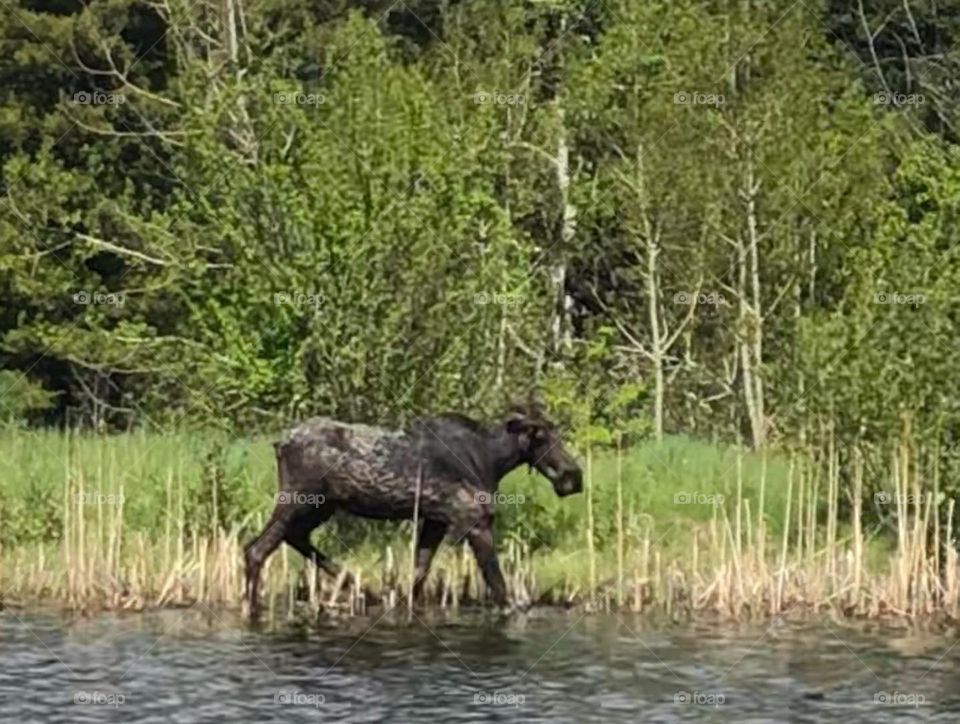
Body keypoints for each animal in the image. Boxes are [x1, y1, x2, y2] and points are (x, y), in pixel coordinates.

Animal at [244, 404, 580, 620]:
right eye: (541, 436)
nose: (573, 476)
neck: (493, 460)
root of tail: (280, 443)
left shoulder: (435, 521)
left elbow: (418, 574)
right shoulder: (474, 520)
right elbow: (498, 586)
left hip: (321, 506)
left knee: (293, 538)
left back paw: (363, 588)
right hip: (299, 499)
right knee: (257, 548)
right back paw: (252, 608)